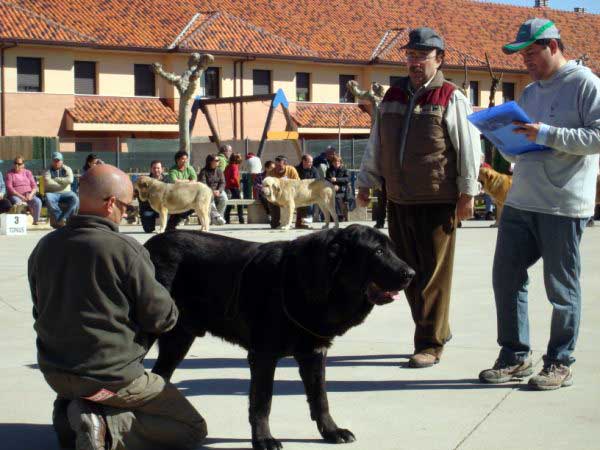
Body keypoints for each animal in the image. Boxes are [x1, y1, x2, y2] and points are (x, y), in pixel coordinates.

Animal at [145, 225, 414, 450]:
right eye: (378, 251)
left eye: (393, 250)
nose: (411, 273)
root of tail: (147, 246)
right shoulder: (264, 355)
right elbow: (262, 401)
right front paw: (264, 439)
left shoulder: (314, 353)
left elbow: (320, 398)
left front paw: (331, 431)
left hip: (178, 341)